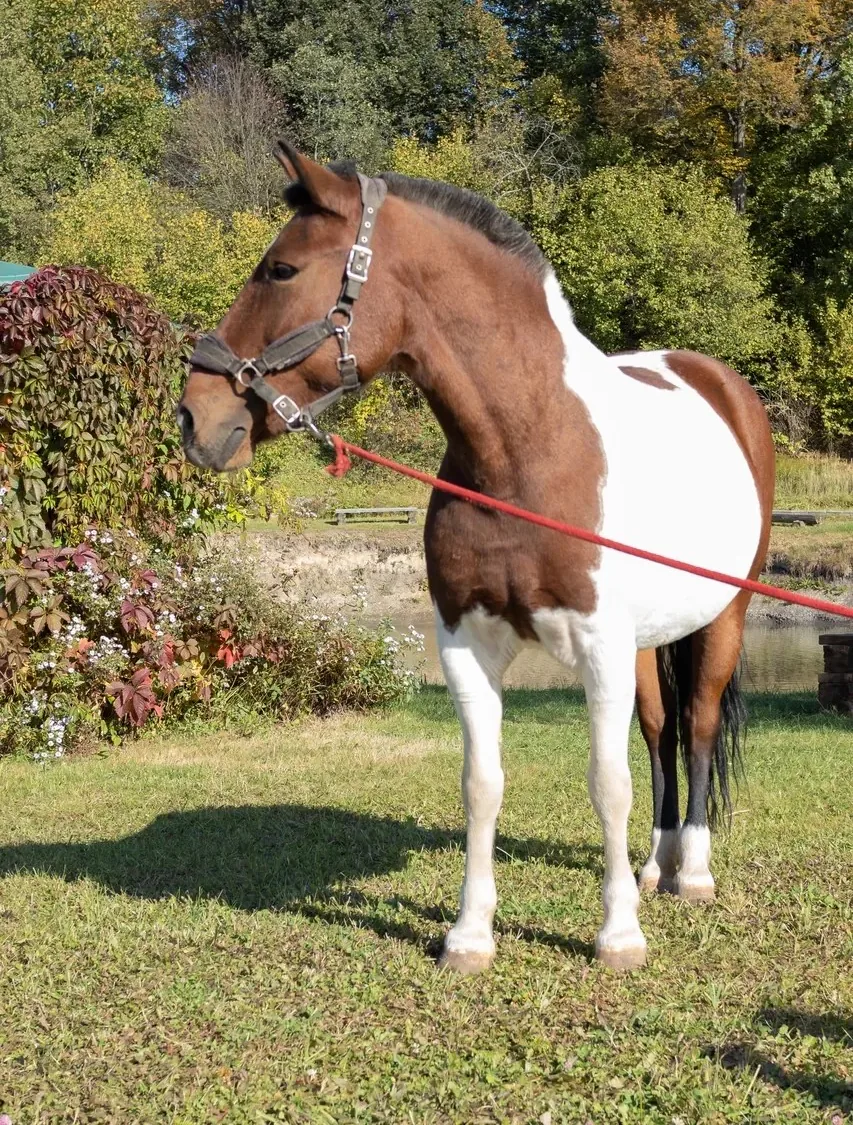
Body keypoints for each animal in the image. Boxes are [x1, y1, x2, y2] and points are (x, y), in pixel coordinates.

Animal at [178, 144, 774, 973]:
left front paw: (617, 935)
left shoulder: (597, 642)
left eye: (282, 269)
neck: (527, 445)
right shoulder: (467, 642)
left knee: (700, 726)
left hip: (725, 617)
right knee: (662, 731)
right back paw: (653, 865)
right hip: (649, 641)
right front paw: (468, 934)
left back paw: (689, 871)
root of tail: (721, 385)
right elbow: (482, 782)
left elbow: (606, 781)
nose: (194, 416)